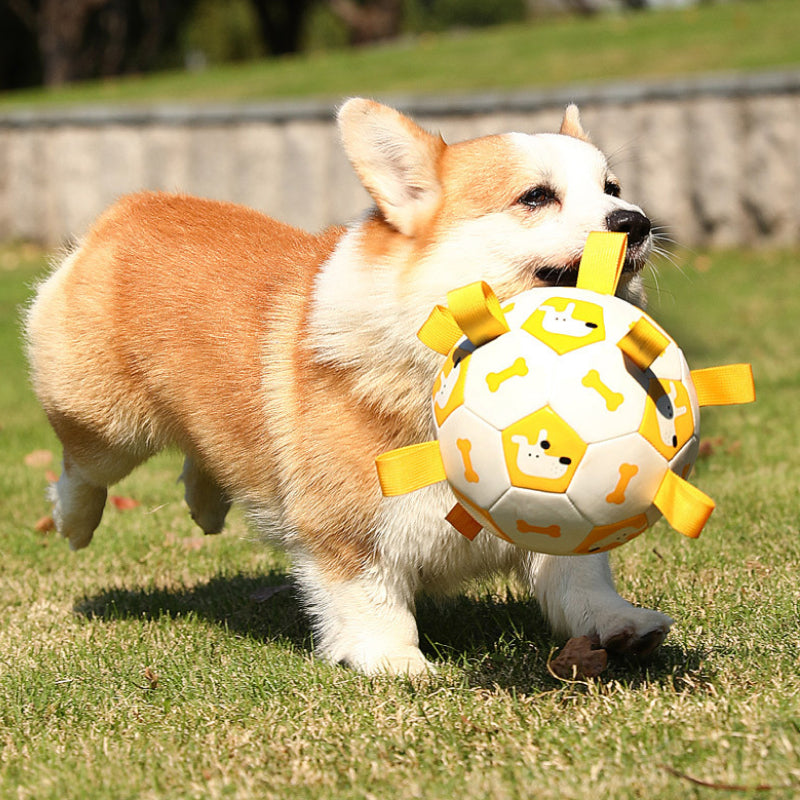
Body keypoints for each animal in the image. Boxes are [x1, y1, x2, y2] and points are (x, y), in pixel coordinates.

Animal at [25, 100, 672, 676]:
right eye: (535, 197)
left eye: (612, 187)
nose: (637, 222)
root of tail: (129, 207)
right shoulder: (345, 528)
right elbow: (371, 599)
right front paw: (395, 662)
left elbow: (580, 580)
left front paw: (620, 624)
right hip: (106, 422)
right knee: (81, 467)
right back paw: (73, 522)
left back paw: (205, 505)